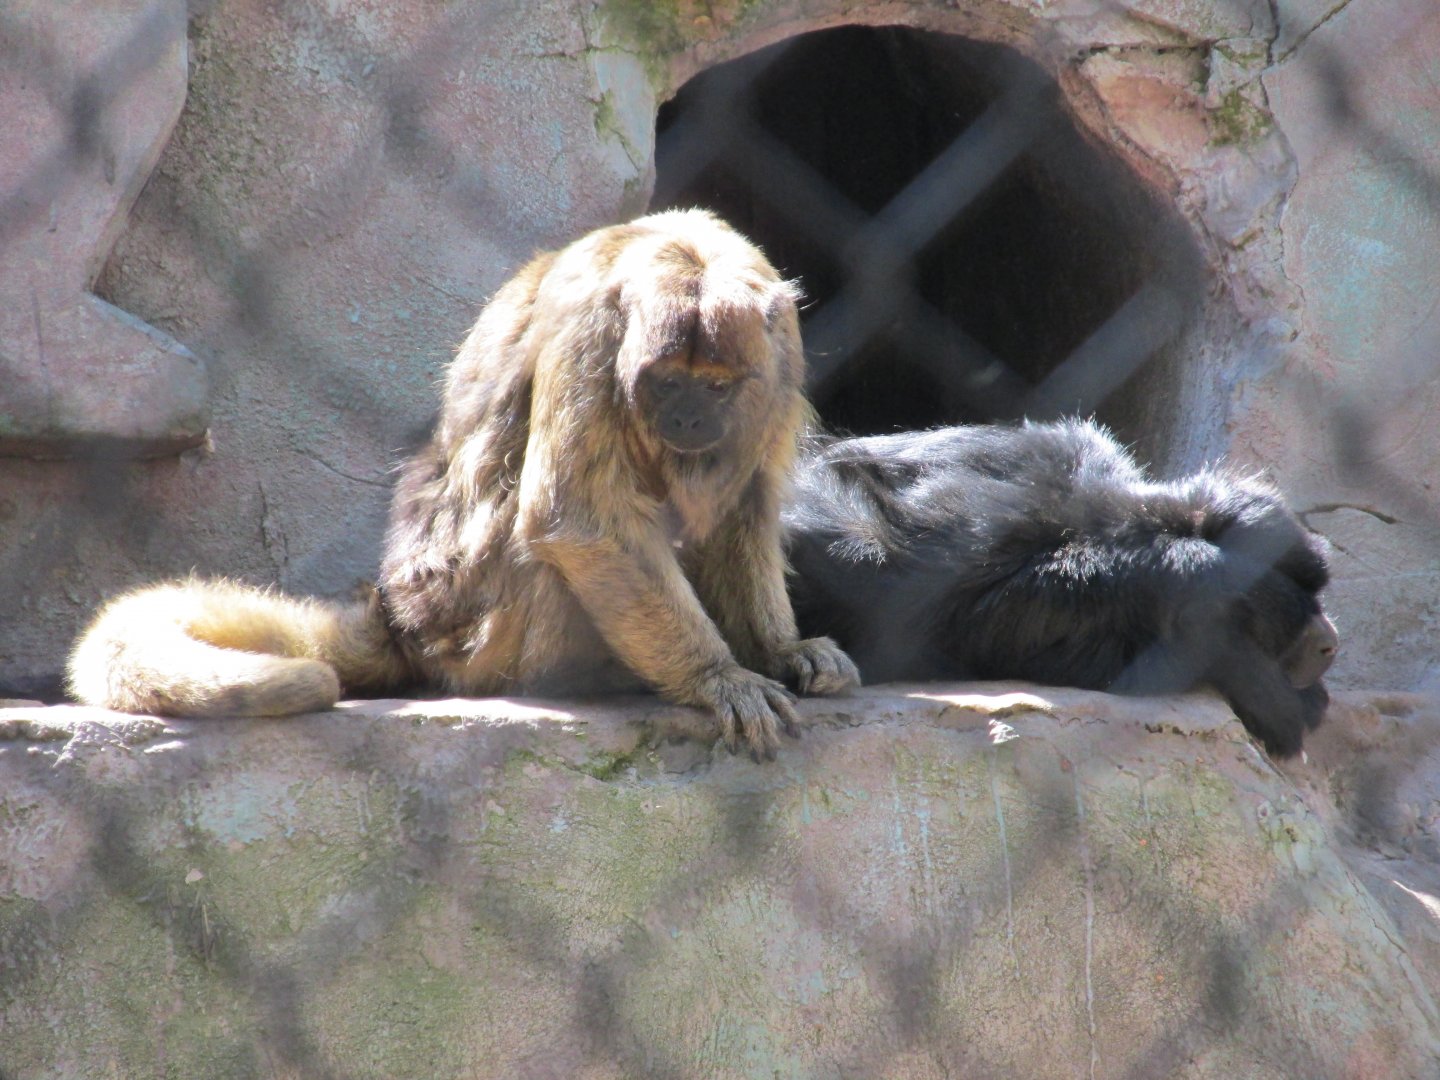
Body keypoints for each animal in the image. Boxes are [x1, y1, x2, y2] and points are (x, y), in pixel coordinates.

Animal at [68, 209, 859, 759]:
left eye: (716, 386)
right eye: (667, 383)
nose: (689, 417)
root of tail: (401, 619)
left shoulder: (781, 346)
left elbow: (746, 505)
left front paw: (777, 651)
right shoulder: (594, 328)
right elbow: (578, 520)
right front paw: (716, 676)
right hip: (486, 630)